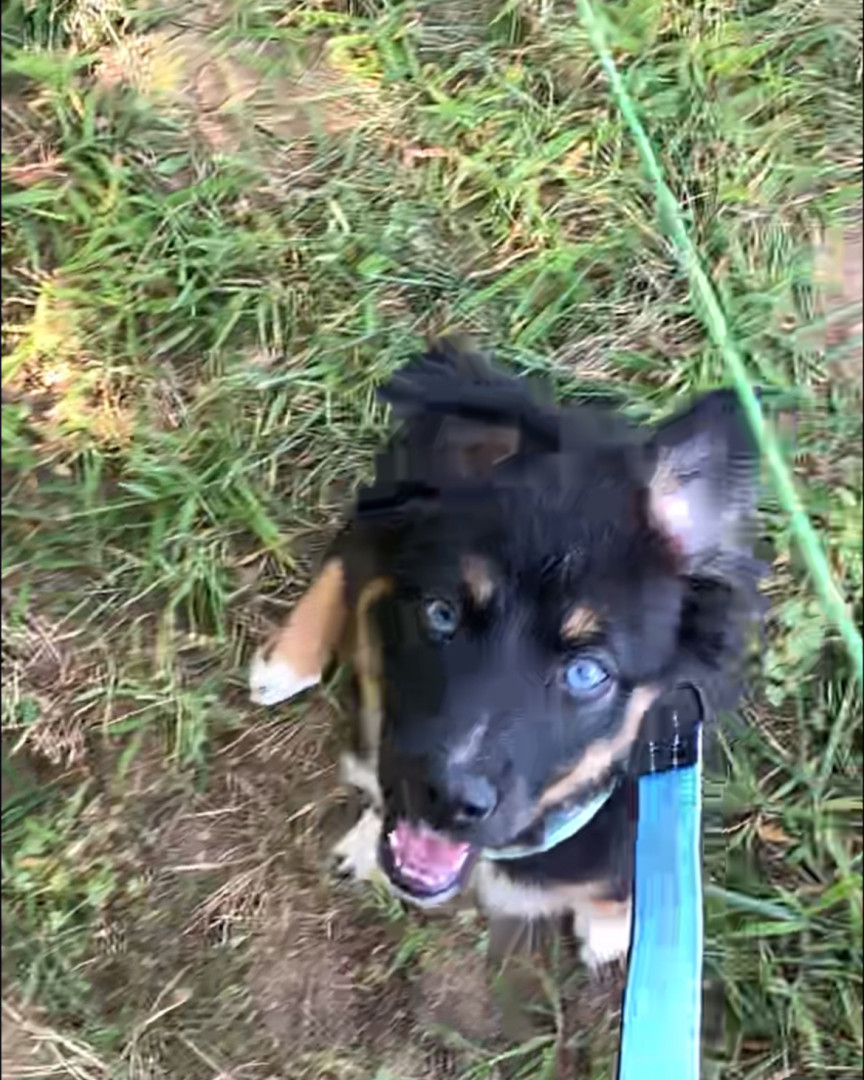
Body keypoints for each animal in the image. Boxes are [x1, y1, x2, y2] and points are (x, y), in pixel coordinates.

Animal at [249, 338, 762, 971]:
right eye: (441, 613)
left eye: (586, 673)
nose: (447, 800)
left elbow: (620, 880)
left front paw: (612, 926)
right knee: (353, 544)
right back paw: (287, 661)